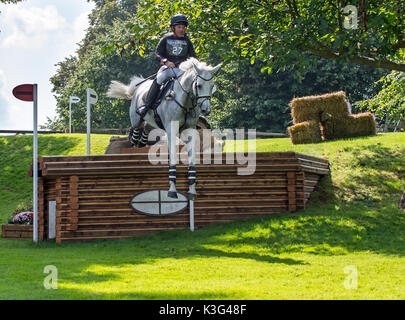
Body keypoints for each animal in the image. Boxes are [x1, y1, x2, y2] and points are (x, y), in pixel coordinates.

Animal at [106, 56, 221, 199]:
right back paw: (134, 142)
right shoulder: (171, 130)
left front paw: (192, 191)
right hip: (136, 118)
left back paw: (141, 144)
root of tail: (137, 88)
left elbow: (192, 158)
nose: (206, 110)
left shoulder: (190, 130)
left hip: (151, 122)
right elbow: (173, 157)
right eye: (198, 85)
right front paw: (172, 190)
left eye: (212, 86)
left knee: (146, 129)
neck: (185, 102)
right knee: (136, 128)